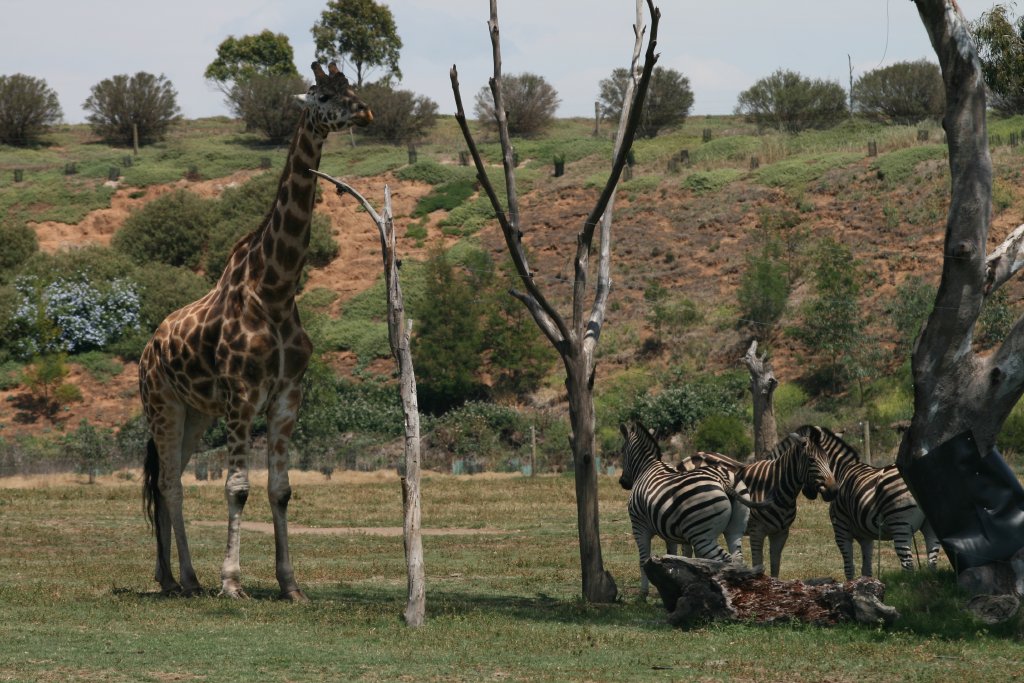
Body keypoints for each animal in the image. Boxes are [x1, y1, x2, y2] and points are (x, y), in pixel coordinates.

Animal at [139, 62, 372, 601]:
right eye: (323, 94)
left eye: (354, 88)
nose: (366, 112)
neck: (277, 289)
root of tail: (147, 348)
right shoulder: (242, 395)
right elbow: (237, 488)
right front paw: (232, 582)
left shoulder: (288, 394)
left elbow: (279, 490)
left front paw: (291, 585)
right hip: (162, 404)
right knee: (169, 484)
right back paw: (183, 578)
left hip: (195, 413)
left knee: (166, 480)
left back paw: (177, 576)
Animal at [618, 421, 768, 597]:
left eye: (622, 451)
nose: (623, 482)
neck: (646, 468)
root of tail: (722, 479)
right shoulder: (668, 531)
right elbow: (672, 556)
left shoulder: (639, 526)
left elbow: (643, 560)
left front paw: (643, 594)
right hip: (734, 528)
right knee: (738, 558)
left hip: (701, 534)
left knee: (726, 561)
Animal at [677, 433, 839, 578]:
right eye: (811, 460)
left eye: (828, 459)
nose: (833, 490)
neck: (778, 490)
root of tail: (691, 456)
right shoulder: (757, 532)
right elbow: (758, 563)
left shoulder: (781, 533)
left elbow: (775, 566)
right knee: (687, 550)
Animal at [798, 425, 941, 580]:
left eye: (808, 461)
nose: (806, 492)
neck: (841, 472)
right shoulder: (866, 536)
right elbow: (866, 569)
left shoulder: (841, 529)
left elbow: (849, 567)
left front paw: (850, 585)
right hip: (930, 525)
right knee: (932, 562)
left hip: (900, 524)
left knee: (908, 565)